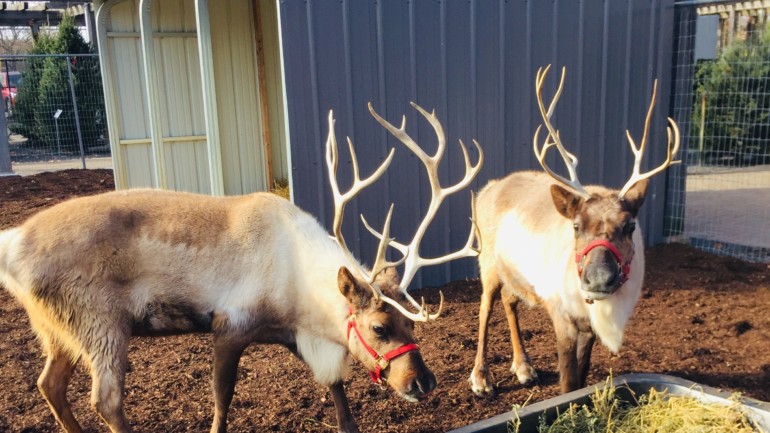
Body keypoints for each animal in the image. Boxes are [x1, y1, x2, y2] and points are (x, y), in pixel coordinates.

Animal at [0, 102, 483, 433]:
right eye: (380, 327)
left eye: (412, 324)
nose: (424, 383)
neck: (298, 288)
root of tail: (13, 245)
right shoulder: (229, 327)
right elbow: (222, 399)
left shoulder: (293, 334)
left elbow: (337, 393)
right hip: (101, 324)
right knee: (106, 400)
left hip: (56, 329)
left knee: (49, 384)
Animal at [468, 65, 680, 396]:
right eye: (576, 226)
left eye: (630, 226)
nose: (599, 279)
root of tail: (489, 188)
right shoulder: (562, 318)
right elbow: (568, 383)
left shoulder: (588, 328)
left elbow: (582, 377)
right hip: (487, 263)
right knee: (485, 308)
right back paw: (481, 377)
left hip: (513, 273)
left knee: (509, 302)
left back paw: (523, 366)